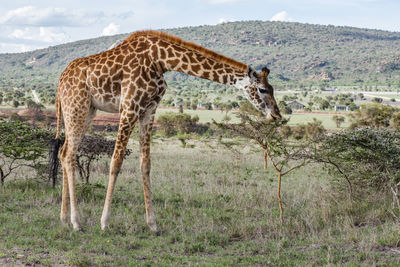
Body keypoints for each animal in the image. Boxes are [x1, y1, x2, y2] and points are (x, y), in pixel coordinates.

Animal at [51, 29, 280, 232]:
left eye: (273, 88)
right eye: (262, 89)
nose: (277, 116)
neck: (161, 60)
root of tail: (59, 82)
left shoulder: (149, 109)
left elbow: (145, 164)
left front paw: (153, 224)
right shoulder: (129, 107)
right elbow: (116, 162)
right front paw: (105, 222)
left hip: (86, 111)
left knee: (63, 152)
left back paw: (63, 218)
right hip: (77, 107)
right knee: (70, 155)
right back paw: (76, 223)